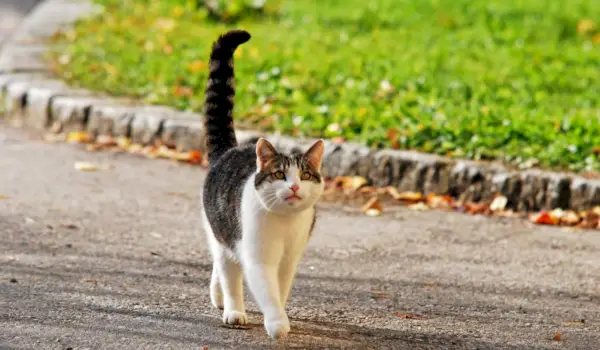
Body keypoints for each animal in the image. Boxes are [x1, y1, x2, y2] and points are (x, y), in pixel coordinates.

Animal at [200, 30, 324, 340]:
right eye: (280, 174)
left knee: (220, 266)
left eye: (305, 176)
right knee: (228, 271)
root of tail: (230, 150)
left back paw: (219, 297)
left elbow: (281, 288)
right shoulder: (258, 257)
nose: (294, 188)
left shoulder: (290, 259)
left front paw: (280, 312)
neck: (284, 223)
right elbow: (267, 291)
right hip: (223, 232)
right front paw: (278, 323)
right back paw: (233, 311)